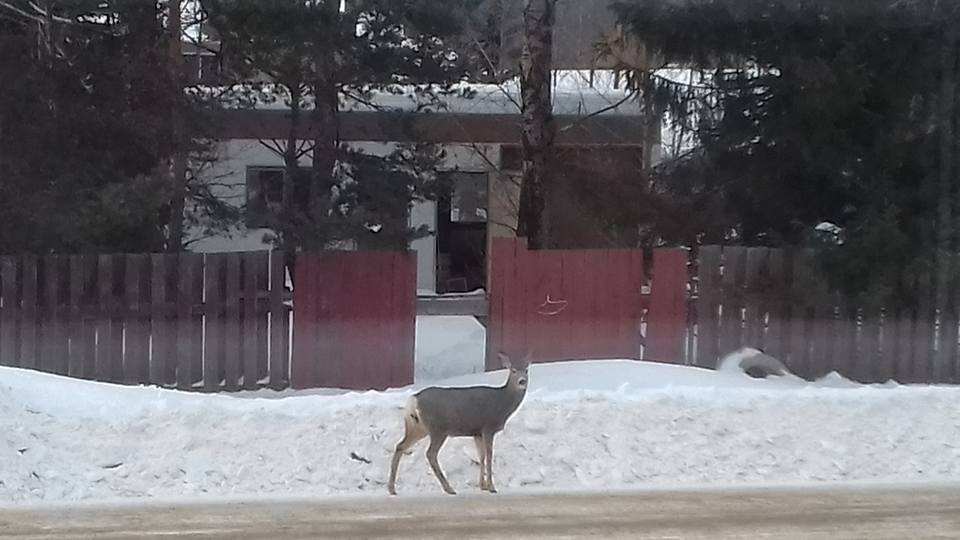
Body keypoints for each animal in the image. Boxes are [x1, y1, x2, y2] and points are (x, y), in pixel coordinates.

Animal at [386, 352, 528, 496]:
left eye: (526, 370)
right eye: (513, 370)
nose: (522, 381)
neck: (502, 403)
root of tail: (414, 399)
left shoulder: (477, 432)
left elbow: (481, 456)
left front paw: (482, 486)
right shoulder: (488, 427)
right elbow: (489, 455)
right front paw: (491, 487)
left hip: (417, 427)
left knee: (400, 446)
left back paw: (392, 488)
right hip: (437, 428)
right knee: (430, 453)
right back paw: (448, 488)